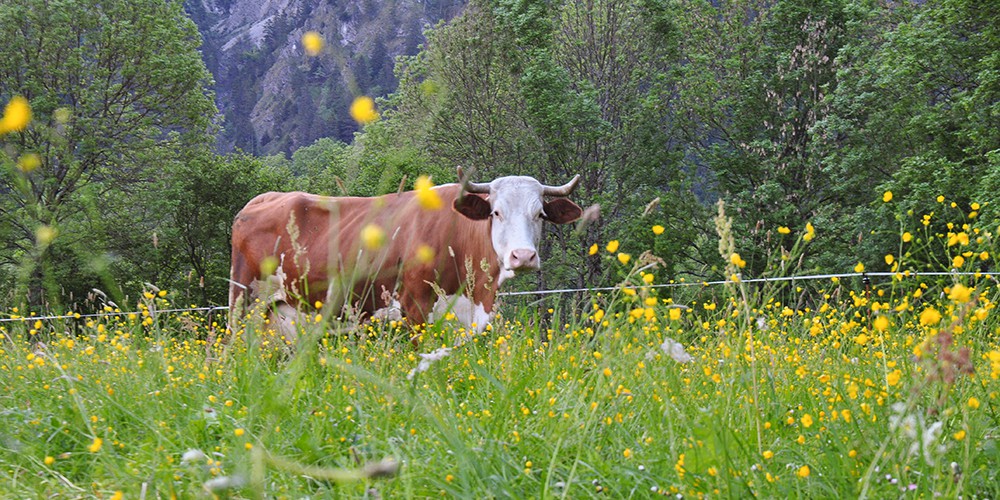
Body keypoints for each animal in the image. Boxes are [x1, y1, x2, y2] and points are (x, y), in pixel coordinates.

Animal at [229, 166, 584, 338]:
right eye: (496, 212)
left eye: (540, 214)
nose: (522, 256)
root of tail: (264, 198)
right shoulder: (415, 307)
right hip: (243, 303)